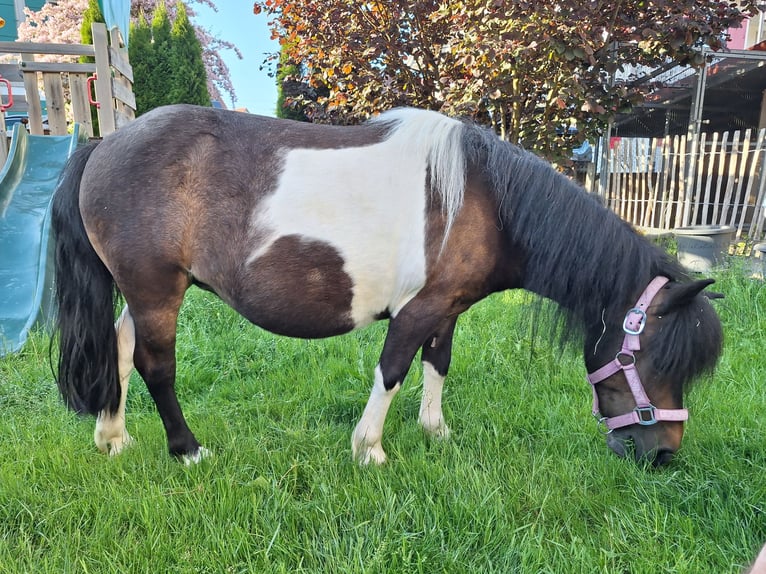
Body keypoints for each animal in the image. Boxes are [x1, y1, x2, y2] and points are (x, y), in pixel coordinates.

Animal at [51, 104, 723, 467]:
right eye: (654, 359)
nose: (663, 455)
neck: (487, 201)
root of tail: (105, 143)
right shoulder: (418, 310)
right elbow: (393, 370)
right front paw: (369, 448)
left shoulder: (448, 310)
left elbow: (437, 366)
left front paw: (436, 433)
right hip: (158, 291)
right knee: (155, 366)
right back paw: (186, 449)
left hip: (145, 294)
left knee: (119, 350)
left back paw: (113, 438)